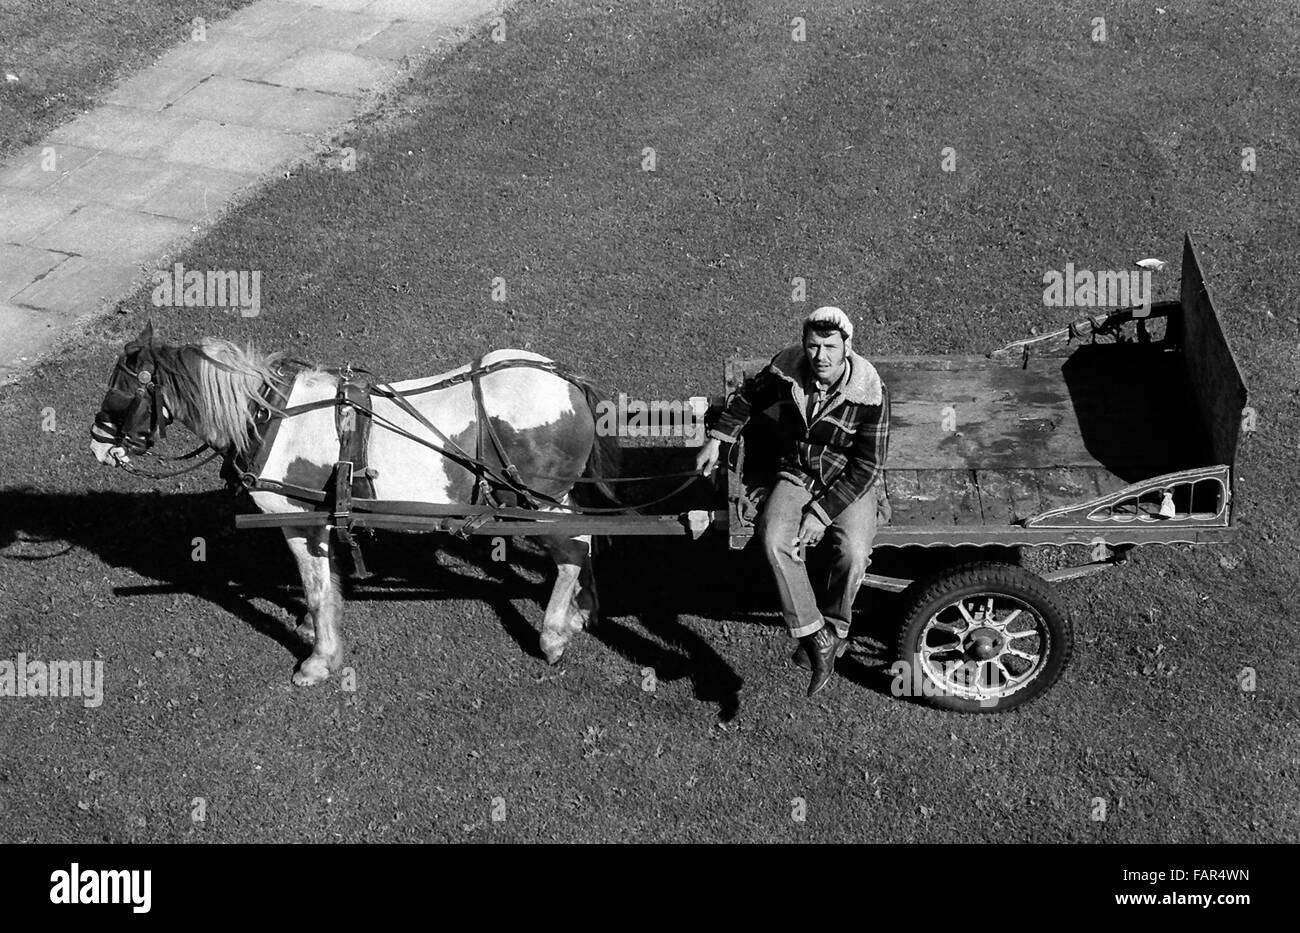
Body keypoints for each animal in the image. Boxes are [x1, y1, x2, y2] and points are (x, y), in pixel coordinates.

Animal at [91, 324, 618, 680]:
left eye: (120, 392)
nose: (97, 444)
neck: (269, 418)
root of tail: (567, 380)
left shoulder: (298, 520)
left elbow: (316, 585)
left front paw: (319, 660)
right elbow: (322, 583)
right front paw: (312, 628)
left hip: (532, 502)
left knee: (572, 549)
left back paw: (553, 633)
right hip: (554, 498)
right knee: (587, 535)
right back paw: (585, 607)